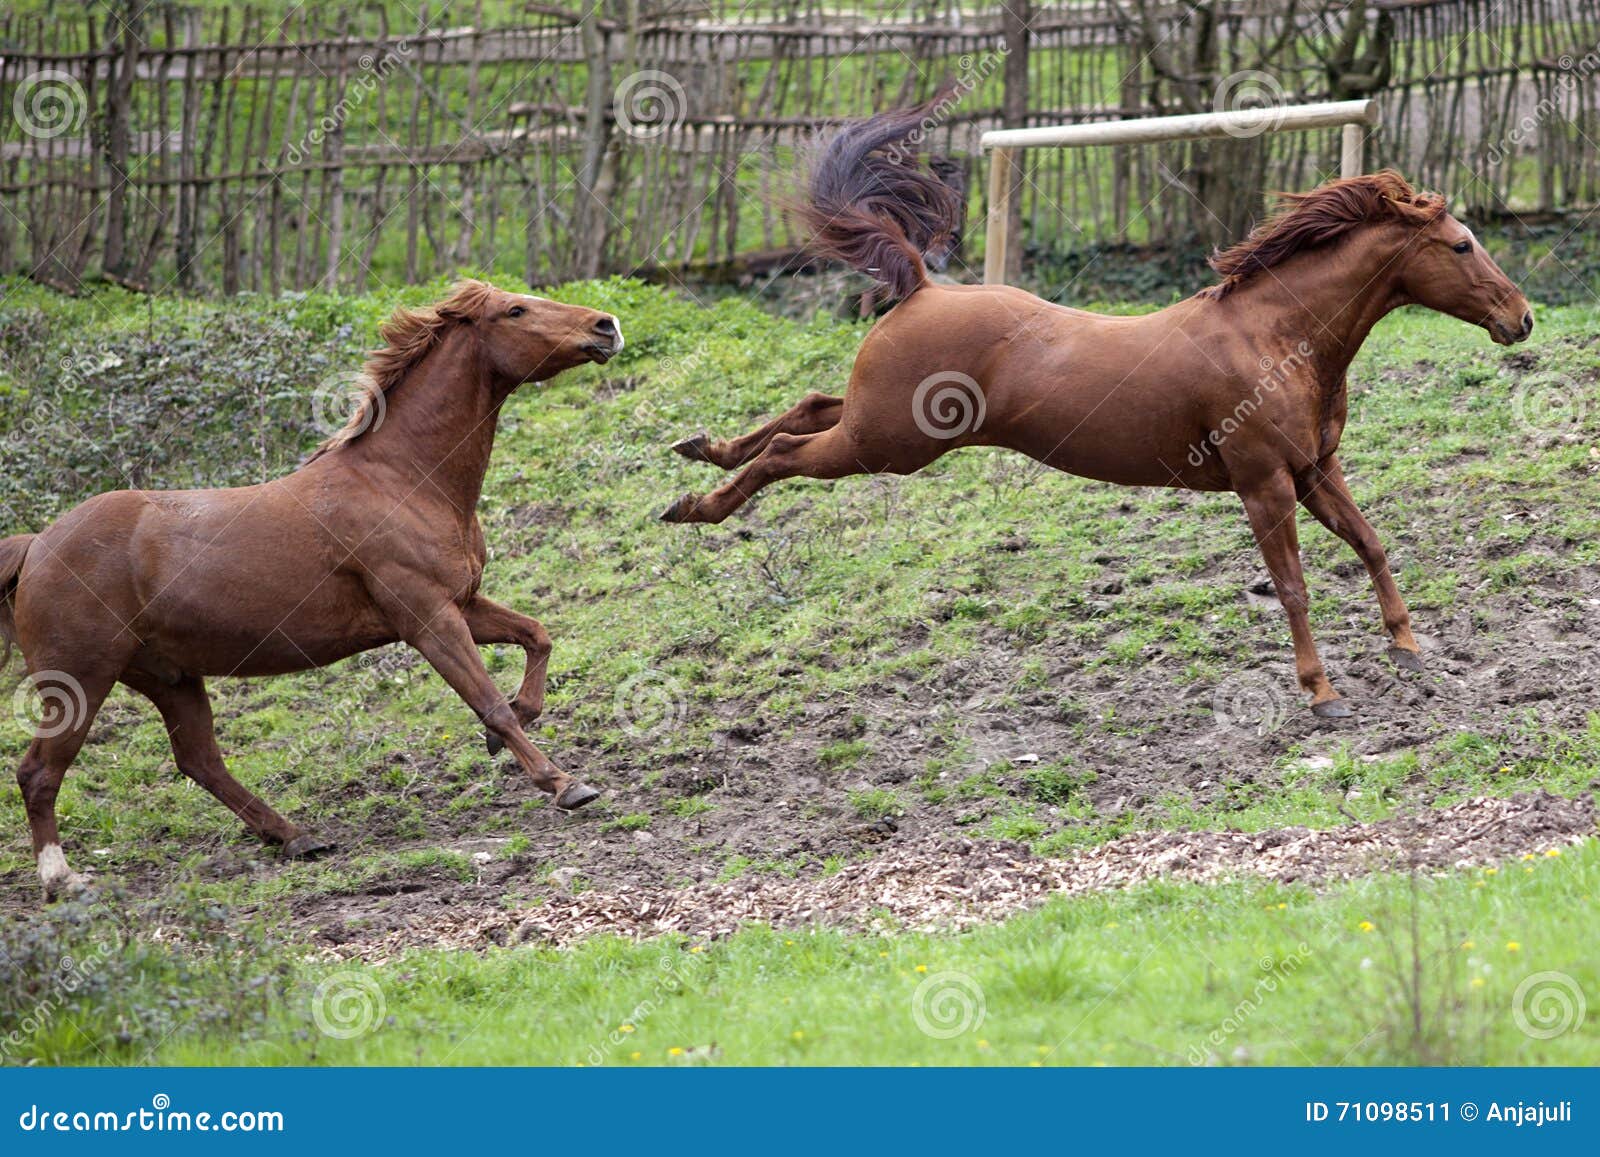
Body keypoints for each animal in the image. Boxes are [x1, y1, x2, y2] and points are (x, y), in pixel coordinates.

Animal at [1, 280, 622, 898]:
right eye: (514, 310)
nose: (607, 326)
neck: (402, 479)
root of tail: (37, 547)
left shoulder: (461, 604)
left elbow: (538, 637)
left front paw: (524, 722)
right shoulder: (427, 618)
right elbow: (490, 704)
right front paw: (564, 783)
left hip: (168, 677)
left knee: (200, 762)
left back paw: (297, 837)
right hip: (81, 679)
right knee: (39, 772)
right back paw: (61, 877)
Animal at [662, 103, 1533, 720]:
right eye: (1462, 245)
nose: (1521, 318)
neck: (1274, 337)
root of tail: (922, 284)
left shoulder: (1317, 470)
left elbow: (1372, 543)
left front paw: (1409, 648)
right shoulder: (1264, 484)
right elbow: (1293, 587)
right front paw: (1322, 694)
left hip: (879, 426)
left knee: (806, 407)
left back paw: (700, 449)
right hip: (886, 444)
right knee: (785, 455)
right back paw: (695, 505)